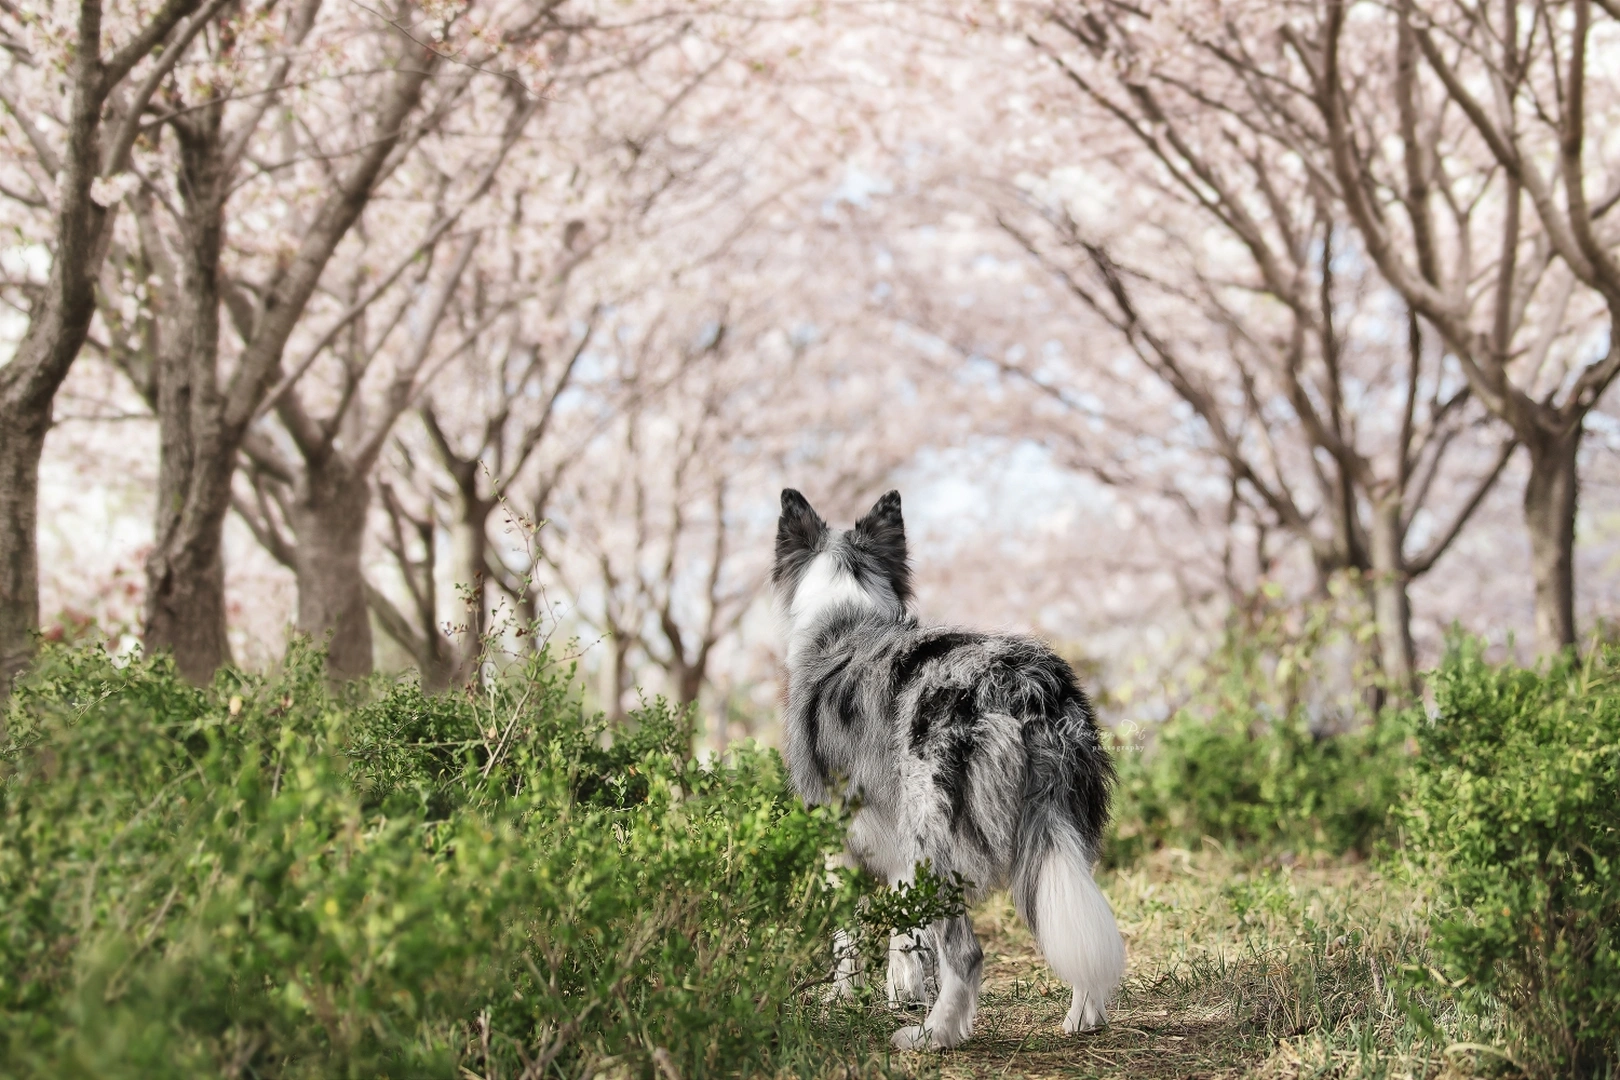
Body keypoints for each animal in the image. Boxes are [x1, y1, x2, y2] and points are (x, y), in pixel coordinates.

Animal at [774, 488, 1127, 1049]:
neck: (845, 615)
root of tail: (1023, 686)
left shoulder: (836, 839)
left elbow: (847, 935)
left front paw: (842, 1000)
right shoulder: (897, 840)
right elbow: (905, 937)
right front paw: (902, 993)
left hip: (937, 836)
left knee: (966, 953)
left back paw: (934, 1034)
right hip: (1061, 833)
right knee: (1077, 922)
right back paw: (1082, 1018)